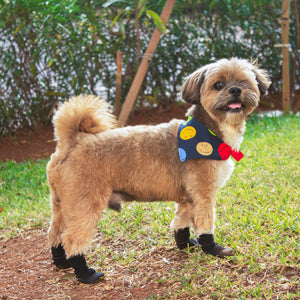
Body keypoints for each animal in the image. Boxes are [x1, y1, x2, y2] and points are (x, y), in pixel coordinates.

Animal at [48, 56, 270, 284]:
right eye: (218, 85)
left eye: (243, 82)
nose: (235, 90)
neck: (208, 131)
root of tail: (73, 140)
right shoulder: (203, 194)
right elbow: (205, 224)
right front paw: (213, 249)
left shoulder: (188, 197)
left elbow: (181, 222)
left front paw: (185, 244)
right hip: (85, 204)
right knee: (72, 238)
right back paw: (85, 272)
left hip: (62, 204)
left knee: (55, 234)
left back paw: (62, 262)